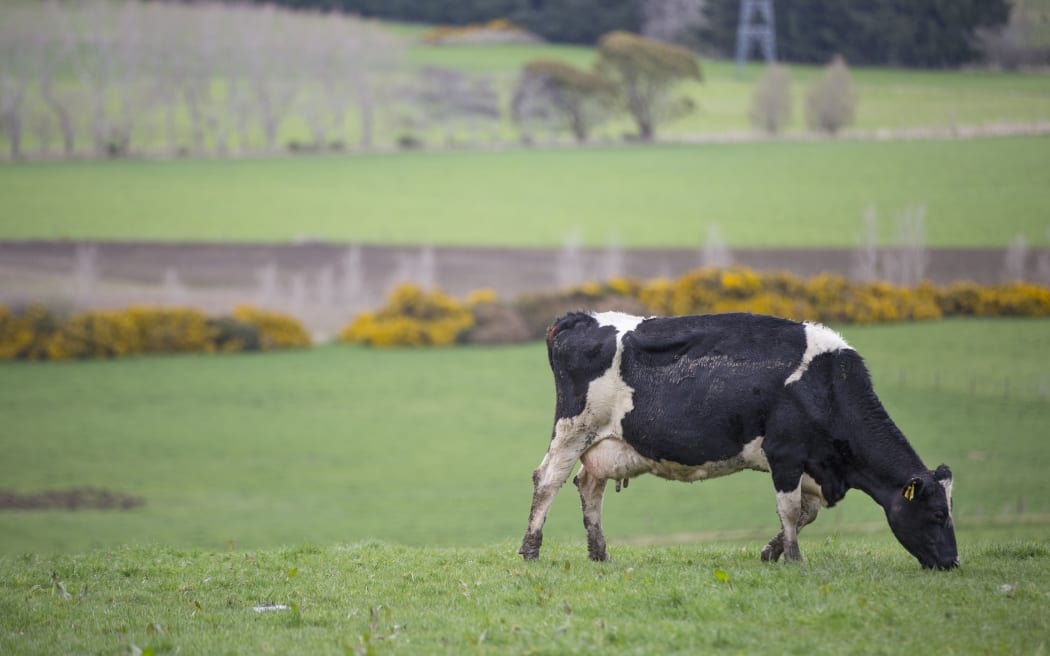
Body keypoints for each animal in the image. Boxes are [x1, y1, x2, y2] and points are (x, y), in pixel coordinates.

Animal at [516, 310, 961, 566]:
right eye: (939, 514)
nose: (953, 562)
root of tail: (580, 317)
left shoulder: (814, 467)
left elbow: (806, 513)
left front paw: (771, 551)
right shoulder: (785, 454)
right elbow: (790, 510)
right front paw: (794, 559)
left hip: (603, 442)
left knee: (589, 485)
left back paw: (599, 554)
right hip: (574, 427)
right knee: (548, 480)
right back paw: (531, 550)